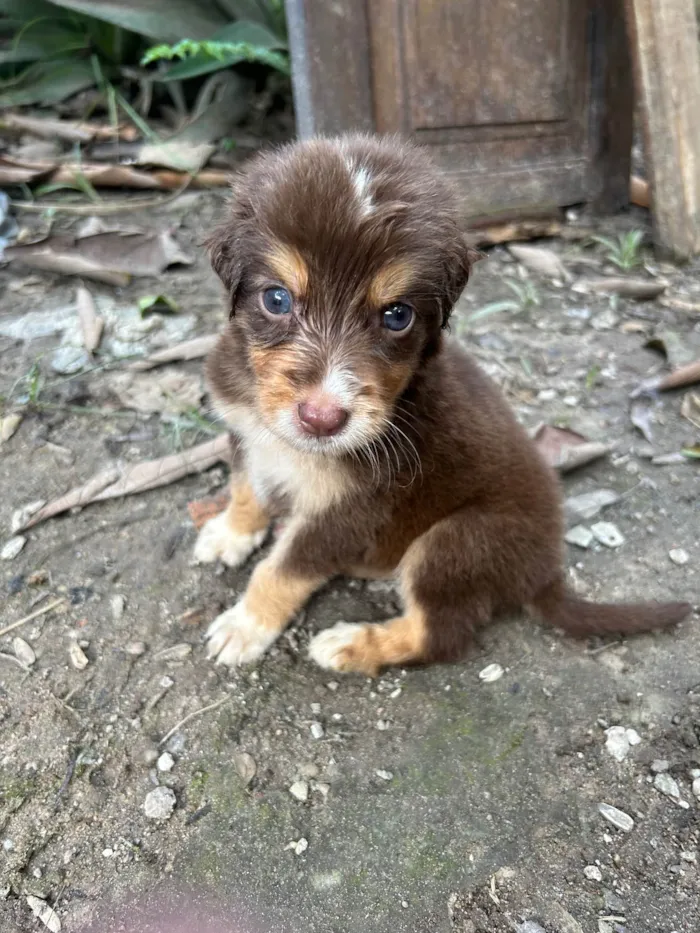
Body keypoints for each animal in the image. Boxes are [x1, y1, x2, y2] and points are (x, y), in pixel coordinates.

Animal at [194, 133, 692, 668]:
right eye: (277, 299)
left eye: (397, 315)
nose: (322, 419)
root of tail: (545, 576)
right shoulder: (245, 430)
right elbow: (246, 488)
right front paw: (230, 533)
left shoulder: (349, 511)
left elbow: (282, 570)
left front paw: (246, 625)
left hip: (455, 543)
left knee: (440, 634)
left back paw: (354, 644)